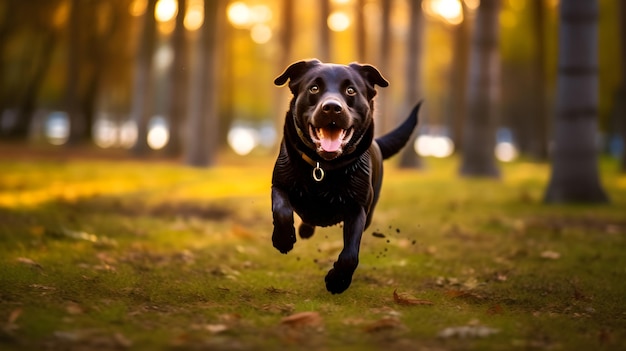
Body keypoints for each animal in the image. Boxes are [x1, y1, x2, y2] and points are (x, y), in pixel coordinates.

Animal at [270, 59, 420, 294]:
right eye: (314, 88)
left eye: (350, 90)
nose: (332, 107)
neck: (324, 166)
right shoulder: (279, 184)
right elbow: (282, 210)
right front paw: (284, 240)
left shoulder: (357, 209)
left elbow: (350, 254)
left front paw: (337, 281)